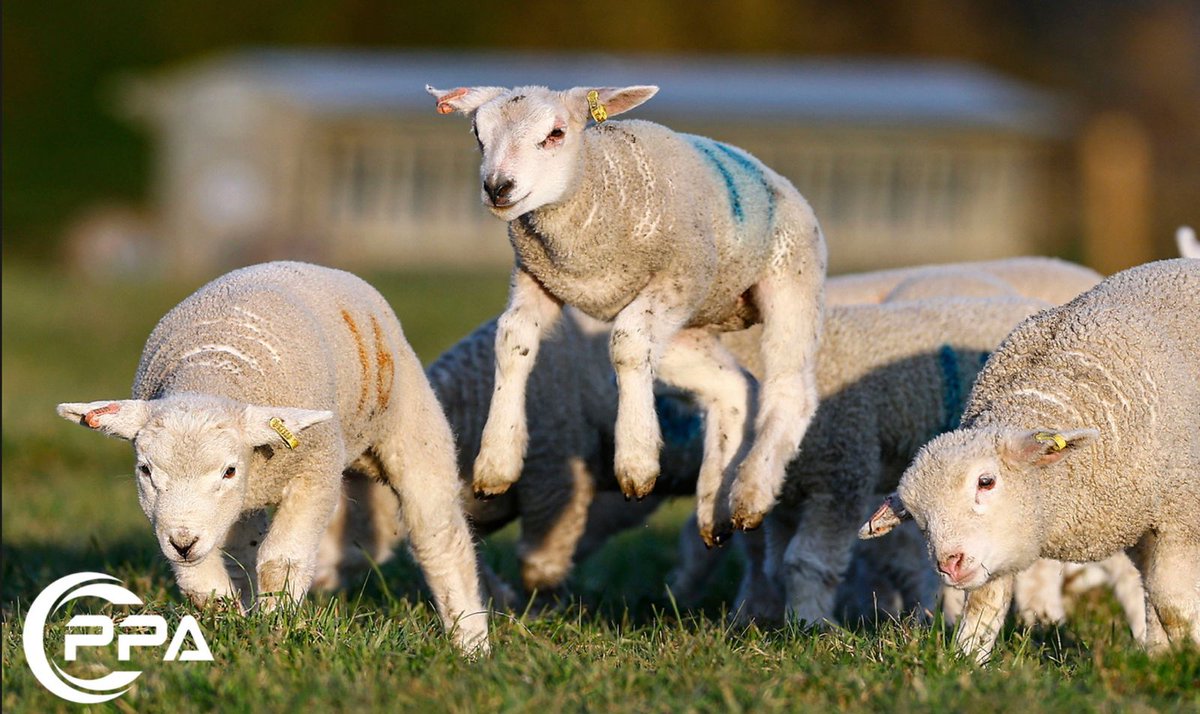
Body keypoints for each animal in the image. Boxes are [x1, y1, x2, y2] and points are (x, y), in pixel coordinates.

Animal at [56, 261, 489, 654]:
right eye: (145, 471)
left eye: (228, 470)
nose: (182, 541)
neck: (212, 372)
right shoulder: (194, 516)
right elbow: (202, 578)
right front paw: (226, 616)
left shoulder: (316, 470)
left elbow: (282, 561)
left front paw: (275, 622)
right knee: (243, 554)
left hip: (411, 430)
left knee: (440, 539)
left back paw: (470, 642)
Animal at [427, 83, 826, 546]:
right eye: (478, 135)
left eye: (555, 134)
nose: (497, 187)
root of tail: (782, 182)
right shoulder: (536, 277)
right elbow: (512, 340)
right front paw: (496, 462)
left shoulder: (682, 273)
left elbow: (627, 344)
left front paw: (636, 460)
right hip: (684, 328)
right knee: (734, 385)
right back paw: (715, 507)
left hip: (788, 278)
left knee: (790, 390)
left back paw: (750, 493)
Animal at [861, 258, 1200, 661]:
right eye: (917, 517)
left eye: (986, 482)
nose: (949, 564)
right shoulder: (1003, 545)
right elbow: (982, 611)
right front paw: (966, 662)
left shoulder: (1180, 517)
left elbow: (1173, 603)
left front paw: (1191, 658)